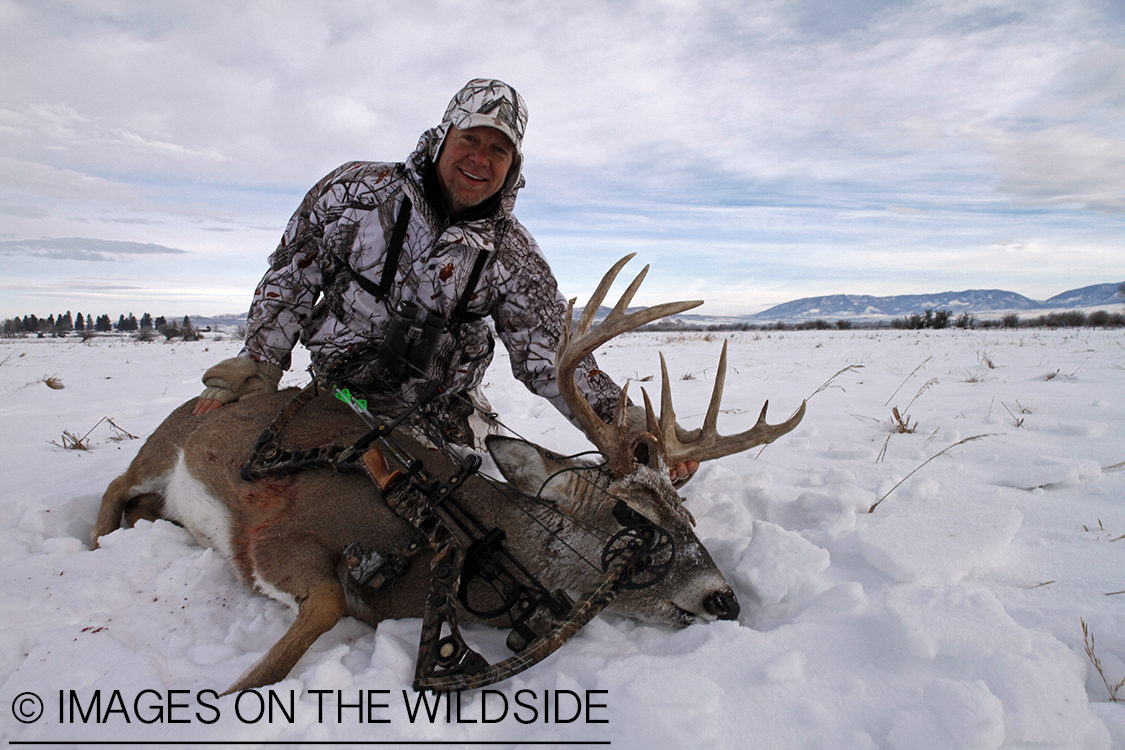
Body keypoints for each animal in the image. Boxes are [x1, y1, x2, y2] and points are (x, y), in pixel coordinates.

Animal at [90, 256, 805, 695]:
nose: (726, 600)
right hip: (160, 448)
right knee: (111, 491)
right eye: (630, 518)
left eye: (689, 517)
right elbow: (324, 604)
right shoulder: (276, 528)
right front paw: (234, 692)